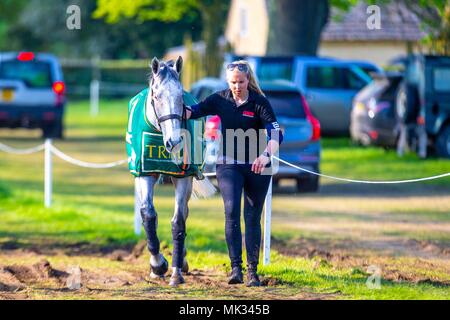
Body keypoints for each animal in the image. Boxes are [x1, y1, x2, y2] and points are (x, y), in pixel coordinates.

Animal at [135, 56, 214, 286]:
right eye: (157, 95)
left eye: (180, 96)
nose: (175, 142)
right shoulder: (145, 174)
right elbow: (148, 214)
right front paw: (157, 265)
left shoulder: (184, 177)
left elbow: (178, 221)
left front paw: (176, 272)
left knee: (185, 213)